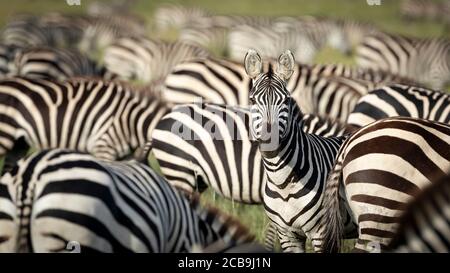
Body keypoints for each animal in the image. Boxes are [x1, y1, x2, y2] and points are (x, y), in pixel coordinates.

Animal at [243, 49, 358, 251]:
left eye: (286, 100)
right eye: (252, 100)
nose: (268, 138)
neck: (281, 183)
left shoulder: (322, 233)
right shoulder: (287, 235)